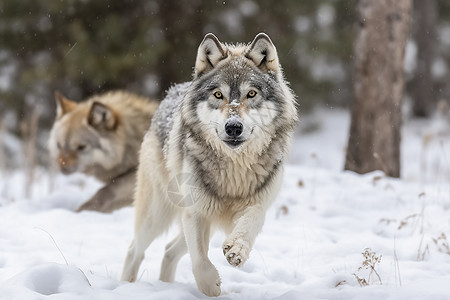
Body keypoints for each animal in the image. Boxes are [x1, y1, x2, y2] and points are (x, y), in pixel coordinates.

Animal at [121, 32, 298, 296]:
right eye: (218, 95)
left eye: (251, 94)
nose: (233, 127)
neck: (234, 169)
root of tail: (171, 92)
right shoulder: (195, 213)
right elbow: (200, 262)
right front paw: (211, 286)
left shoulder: (258, 203)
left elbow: (251, 221)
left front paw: (237, 249)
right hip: (157, 215)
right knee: (135, 250)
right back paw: (126, 286)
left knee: (168, 250)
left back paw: (166, 286)